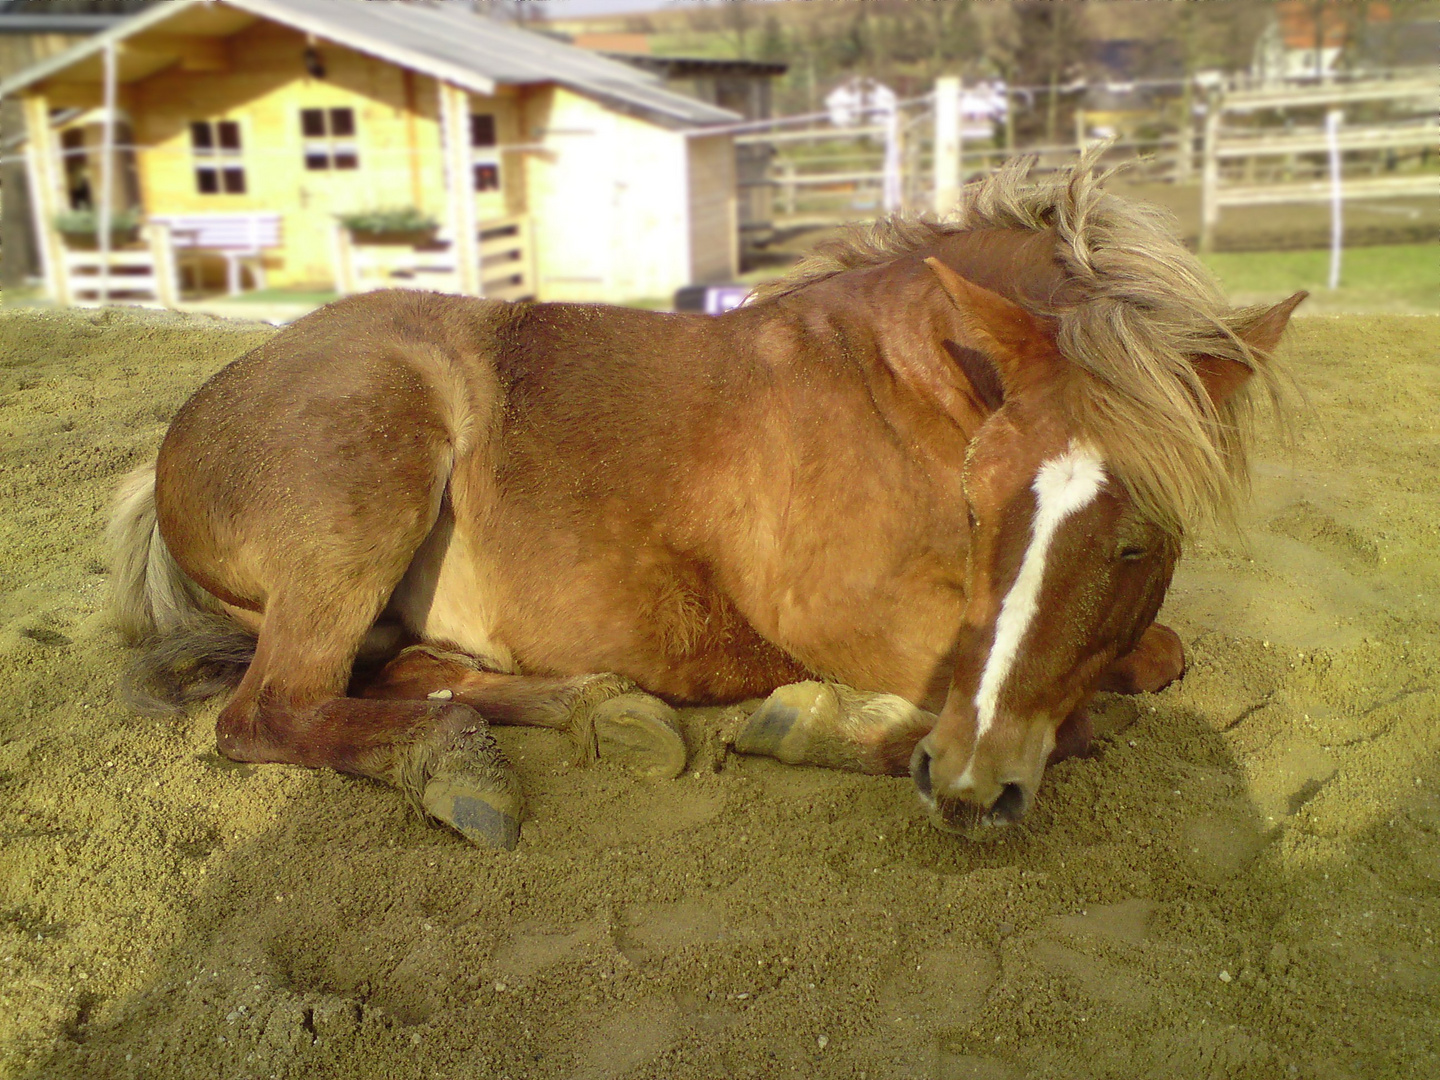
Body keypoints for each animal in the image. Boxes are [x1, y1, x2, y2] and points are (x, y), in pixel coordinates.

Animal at [109, 158, 1307, 852]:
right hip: (368, 488)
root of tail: (184, 437)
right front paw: (815, 720)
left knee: (411, 675)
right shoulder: (850, 616)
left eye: (1140, 544)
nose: (972, 789)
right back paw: (454, 767)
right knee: (273, 711)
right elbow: (1082, 716)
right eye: (978, 505)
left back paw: (602, 712)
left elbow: (1146, 659)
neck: (895, 381)